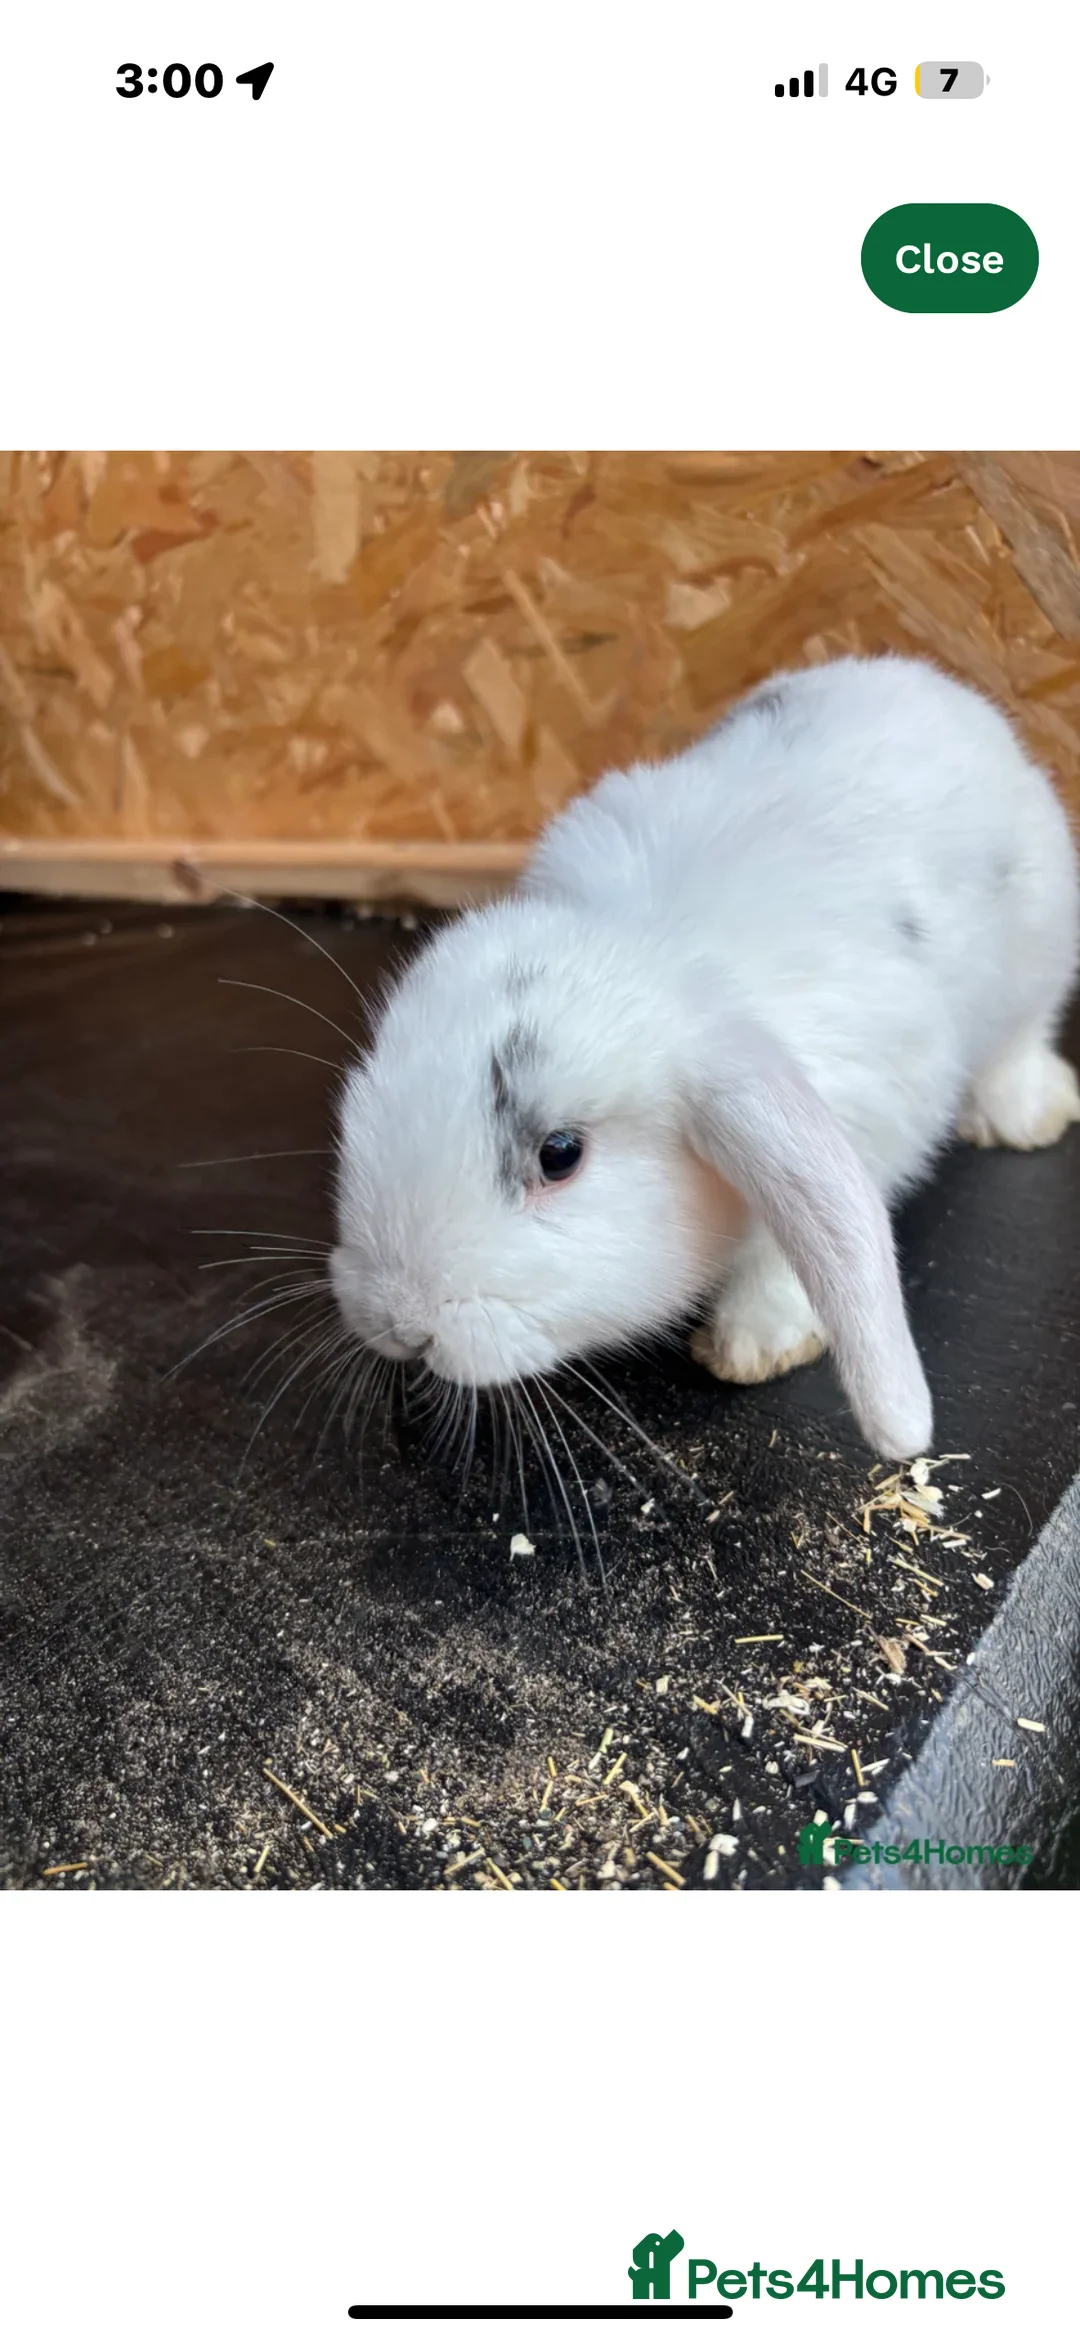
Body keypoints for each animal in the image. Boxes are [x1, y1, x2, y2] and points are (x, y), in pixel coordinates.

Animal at [331, 654, 1080, 1460]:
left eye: (560, 1154)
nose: (400, 1323)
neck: (649, 948)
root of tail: (932, 683)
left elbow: (788, 1256)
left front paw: (752, 1346)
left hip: (1035, 968)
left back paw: (1026, 1118)